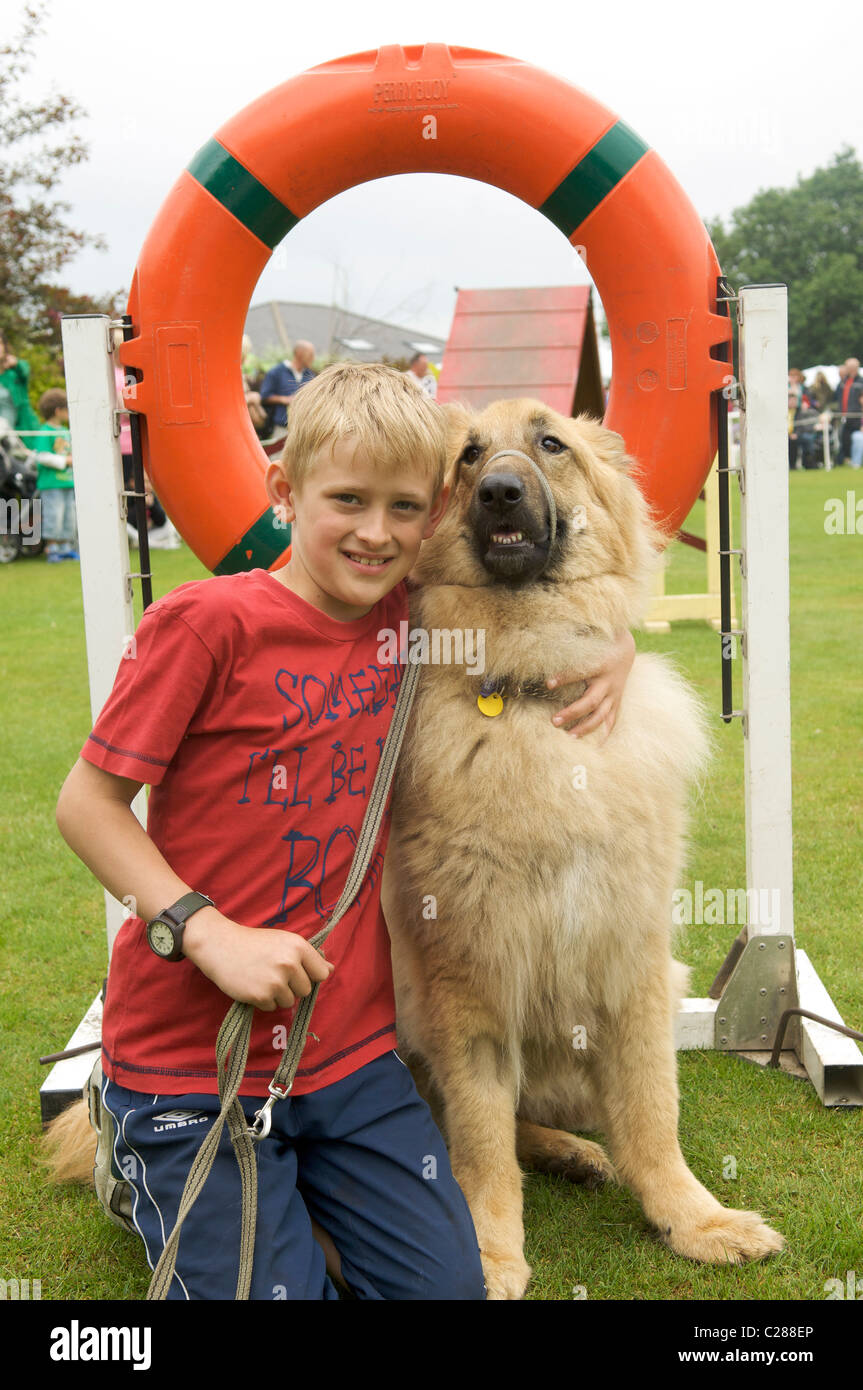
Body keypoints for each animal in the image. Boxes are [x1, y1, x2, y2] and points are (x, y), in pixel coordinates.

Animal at [380, 397, 783, 1295]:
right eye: (467, 456)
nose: (497, 491)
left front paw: (692, 1218)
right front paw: (491, 1252)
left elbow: (652, 1112)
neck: (530, 693)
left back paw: (574, 1151)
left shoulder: (631, 963)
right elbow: (481, 1140)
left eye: (549, 443)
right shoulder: (469, 981)